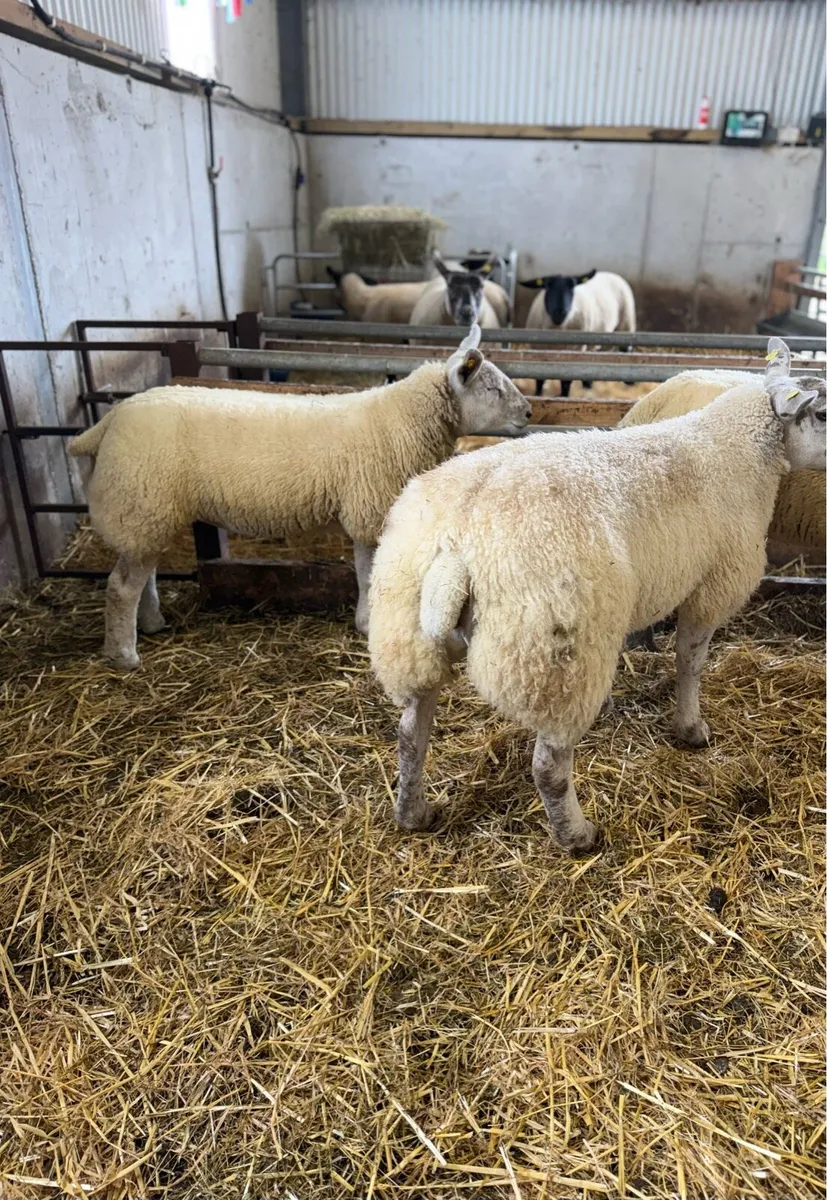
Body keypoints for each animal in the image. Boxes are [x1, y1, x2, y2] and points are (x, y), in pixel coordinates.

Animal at [68, 326, 531, 671]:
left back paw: (151, 624)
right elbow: (367, 573)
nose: (529, 413)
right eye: (491, 388)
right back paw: (124, 655)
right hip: (141, 499)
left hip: (146, 510)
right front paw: (367, 625)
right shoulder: (368, 508)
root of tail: (110, 420)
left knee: (140, 575)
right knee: (121, 586)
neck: (403, 421)